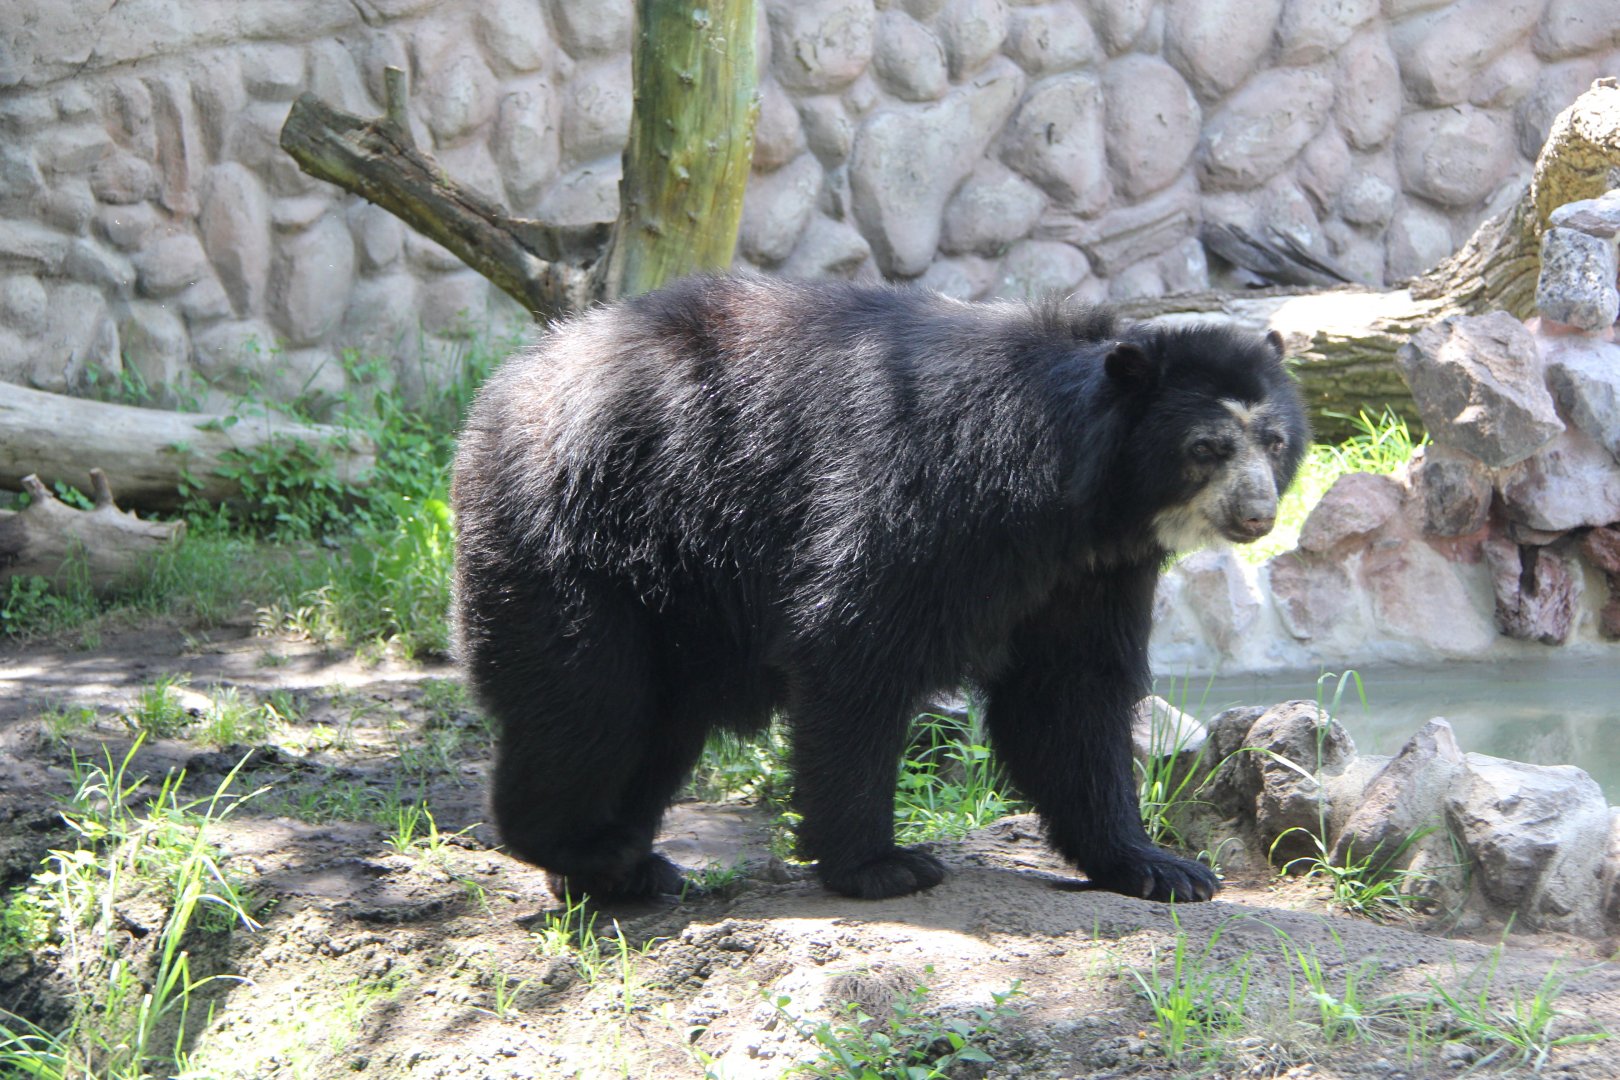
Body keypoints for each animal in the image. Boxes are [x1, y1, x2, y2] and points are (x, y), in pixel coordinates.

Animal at [451, 274, 1308, 904]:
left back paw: (622, 870)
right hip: (578, 533)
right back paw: (588, 846)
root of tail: (506, 386)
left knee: (656, 724)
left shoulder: (1090, 571)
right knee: (588, 700)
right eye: (1206, 447)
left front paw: (1161, 868)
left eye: (1275, 441)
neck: (1083, 494)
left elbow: (1070, 689)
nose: (1258, 513)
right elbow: (856, 645)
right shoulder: (933, 495)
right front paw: (882, 864)